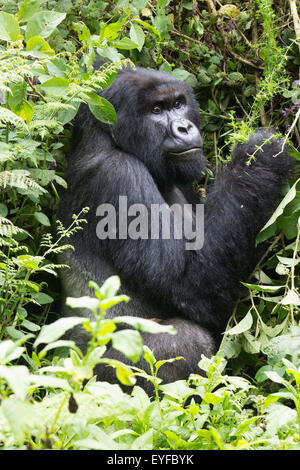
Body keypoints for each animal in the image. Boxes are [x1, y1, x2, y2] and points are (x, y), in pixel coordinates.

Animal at [56, 64, 292, 392]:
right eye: (156, 110)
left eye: (178, 103)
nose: (183, 127)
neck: (105, 139)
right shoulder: (119, 175)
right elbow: (188, 284)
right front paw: (259, 158)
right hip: (86, 378)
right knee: (186, 341)